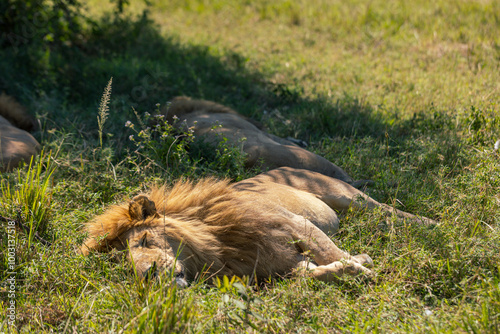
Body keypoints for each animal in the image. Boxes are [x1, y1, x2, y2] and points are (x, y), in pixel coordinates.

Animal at [82, 167, 434, 284]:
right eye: (124, 265)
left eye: (143, 242)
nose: (148, 276)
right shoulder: (281, 264)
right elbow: (312, 273)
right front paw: (354, 267)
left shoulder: (297, 225)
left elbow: (331, 253)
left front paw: (365, 266)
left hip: (346, 195)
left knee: (388, 210)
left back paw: (434, 225)